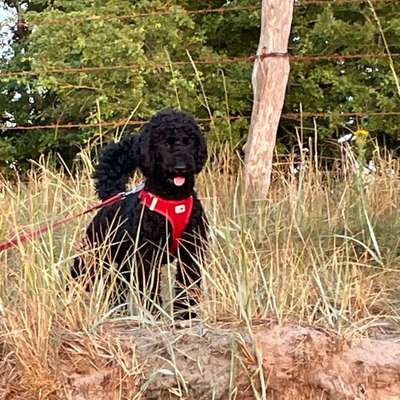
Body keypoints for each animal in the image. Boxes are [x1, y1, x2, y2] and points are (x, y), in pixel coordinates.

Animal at [72, 109, 208, 318]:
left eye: (188, 140)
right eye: (165, 143)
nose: (181, 168)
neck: (172, 199)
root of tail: (112, 197)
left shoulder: (190, 250)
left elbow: (188, 283)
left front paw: (186, 314)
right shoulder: (147, 256)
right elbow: (151, 288)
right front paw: (155, 314)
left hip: (122, 263)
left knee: (117, 287)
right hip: (94, 256)